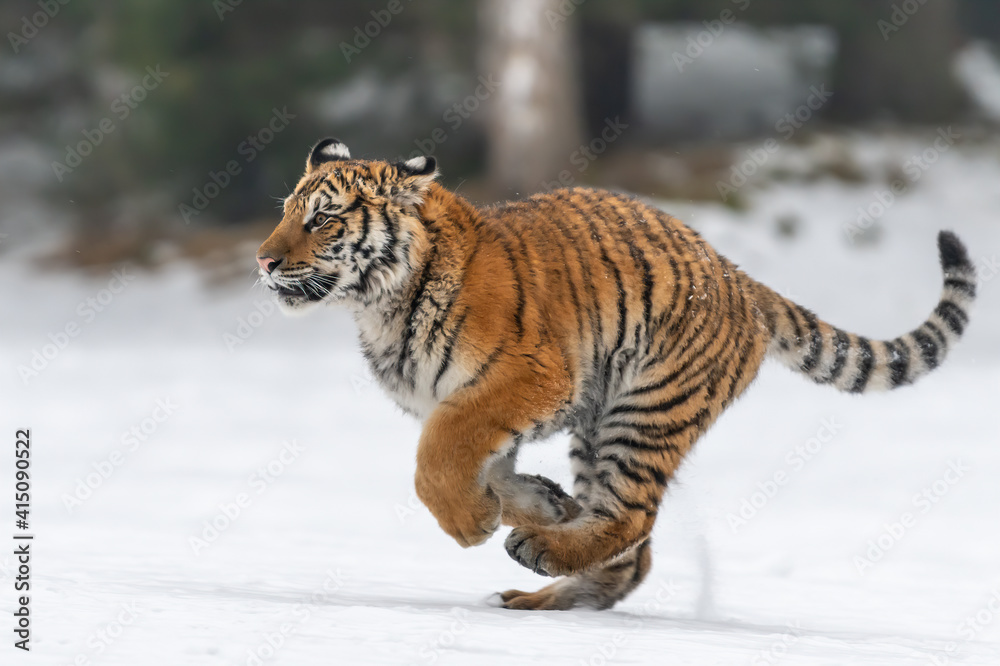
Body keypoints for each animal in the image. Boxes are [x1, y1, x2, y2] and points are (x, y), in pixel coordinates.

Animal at [256, 138, 977, 611]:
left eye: (324, 218)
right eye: (286, 209)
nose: (263, 261)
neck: (379, 305)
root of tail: (739, 277)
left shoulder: (521, 380)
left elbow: (440, 455)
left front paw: (473, 522)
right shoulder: (475, 399)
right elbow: (482, 460)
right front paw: (537, 502)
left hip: (646, 409)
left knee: (632, 521)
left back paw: (542, 555)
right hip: (600, 422)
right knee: (630, 550)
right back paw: (547, 586)